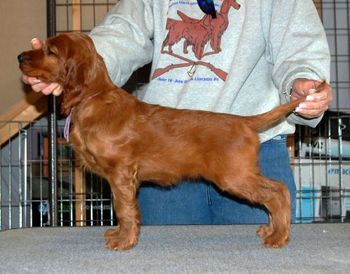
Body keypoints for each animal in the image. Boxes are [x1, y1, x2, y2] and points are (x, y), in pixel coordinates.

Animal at [17, 31, 314, 250]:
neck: (94, 98)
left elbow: (123, 208)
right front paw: (120, 235)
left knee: (278, 191)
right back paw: (272, 229)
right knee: (276, 191)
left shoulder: (121, 173)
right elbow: (124, 208)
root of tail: (244, 121)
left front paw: (124, 241)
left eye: (51, 51)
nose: (20, 55)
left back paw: (278, 236)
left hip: (234, 176)